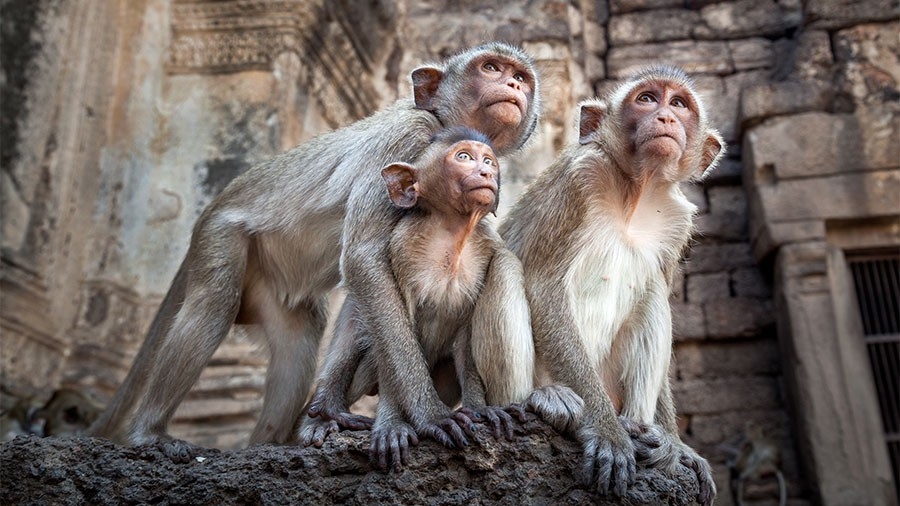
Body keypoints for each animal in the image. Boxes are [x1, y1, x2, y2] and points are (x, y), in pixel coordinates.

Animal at [299, 128, 535, 469]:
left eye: (489, 160)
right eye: (464, 157)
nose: (487, 172)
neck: (452, 234)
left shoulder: (487, 246)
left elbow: (465, 338)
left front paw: (479, 408)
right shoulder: (402, 247)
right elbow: (391, 326)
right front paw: (404, 422)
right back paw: (325, 413)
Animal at [498, 65, 723, 505]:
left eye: (679, 104)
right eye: (647, 99)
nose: (665, 117)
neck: (636, 193)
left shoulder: (677, 222)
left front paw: (678, 446)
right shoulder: (579, 178)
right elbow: (544, 286)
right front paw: (606, 432)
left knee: (653, 298)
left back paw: (646, 434)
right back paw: (548, 400)